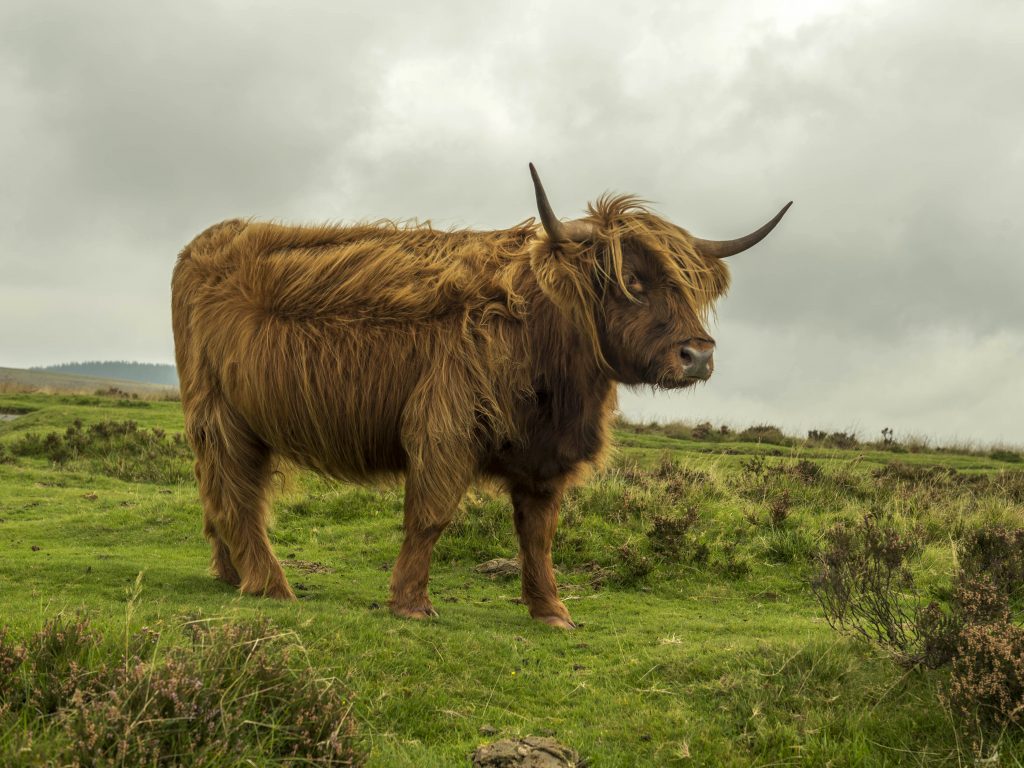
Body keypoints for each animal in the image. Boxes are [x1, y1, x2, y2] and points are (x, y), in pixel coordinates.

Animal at [172, 165, 786, 626]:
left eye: (689, 287)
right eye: (630, 282)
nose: (698, 355)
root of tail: (209, 240)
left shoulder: (546, 457)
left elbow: (538, 534)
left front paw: (552, 612)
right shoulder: (445, 428)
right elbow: (430, 516)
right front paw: (411, 604)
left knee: (222, 495)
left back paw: (229, 573)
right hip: (221, 417)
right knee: (237, 496)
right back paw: (270, 585)